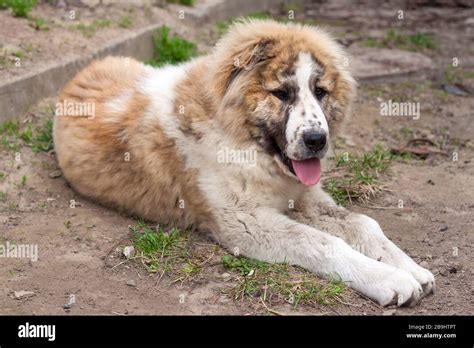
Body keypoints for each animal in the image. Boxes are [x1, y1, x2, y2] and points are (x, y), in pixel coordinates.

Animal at [53, 19, 436, 308]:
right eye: (281, 94)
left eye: (320, 92)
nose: (317, 140)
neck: (246, 145)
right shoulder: (244, 222)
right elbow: (323, 242)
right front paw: (388, 279)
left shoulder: (304, 196)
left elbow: (364, 224)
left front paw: (410, 267)